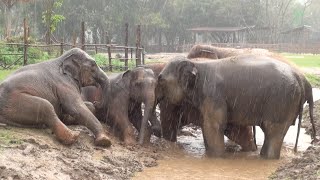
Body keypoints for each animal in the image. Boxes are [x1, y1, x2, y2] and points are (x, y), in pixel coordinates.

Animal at [156, 55, 314, 159]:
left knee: (273, 131)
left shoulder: (214, 95)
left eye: (160, 80)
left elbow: (213, 127)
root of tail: (303, 79)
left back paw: (267, 158)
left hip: (281, 102)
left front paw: (216, 158)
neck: (197, 64)